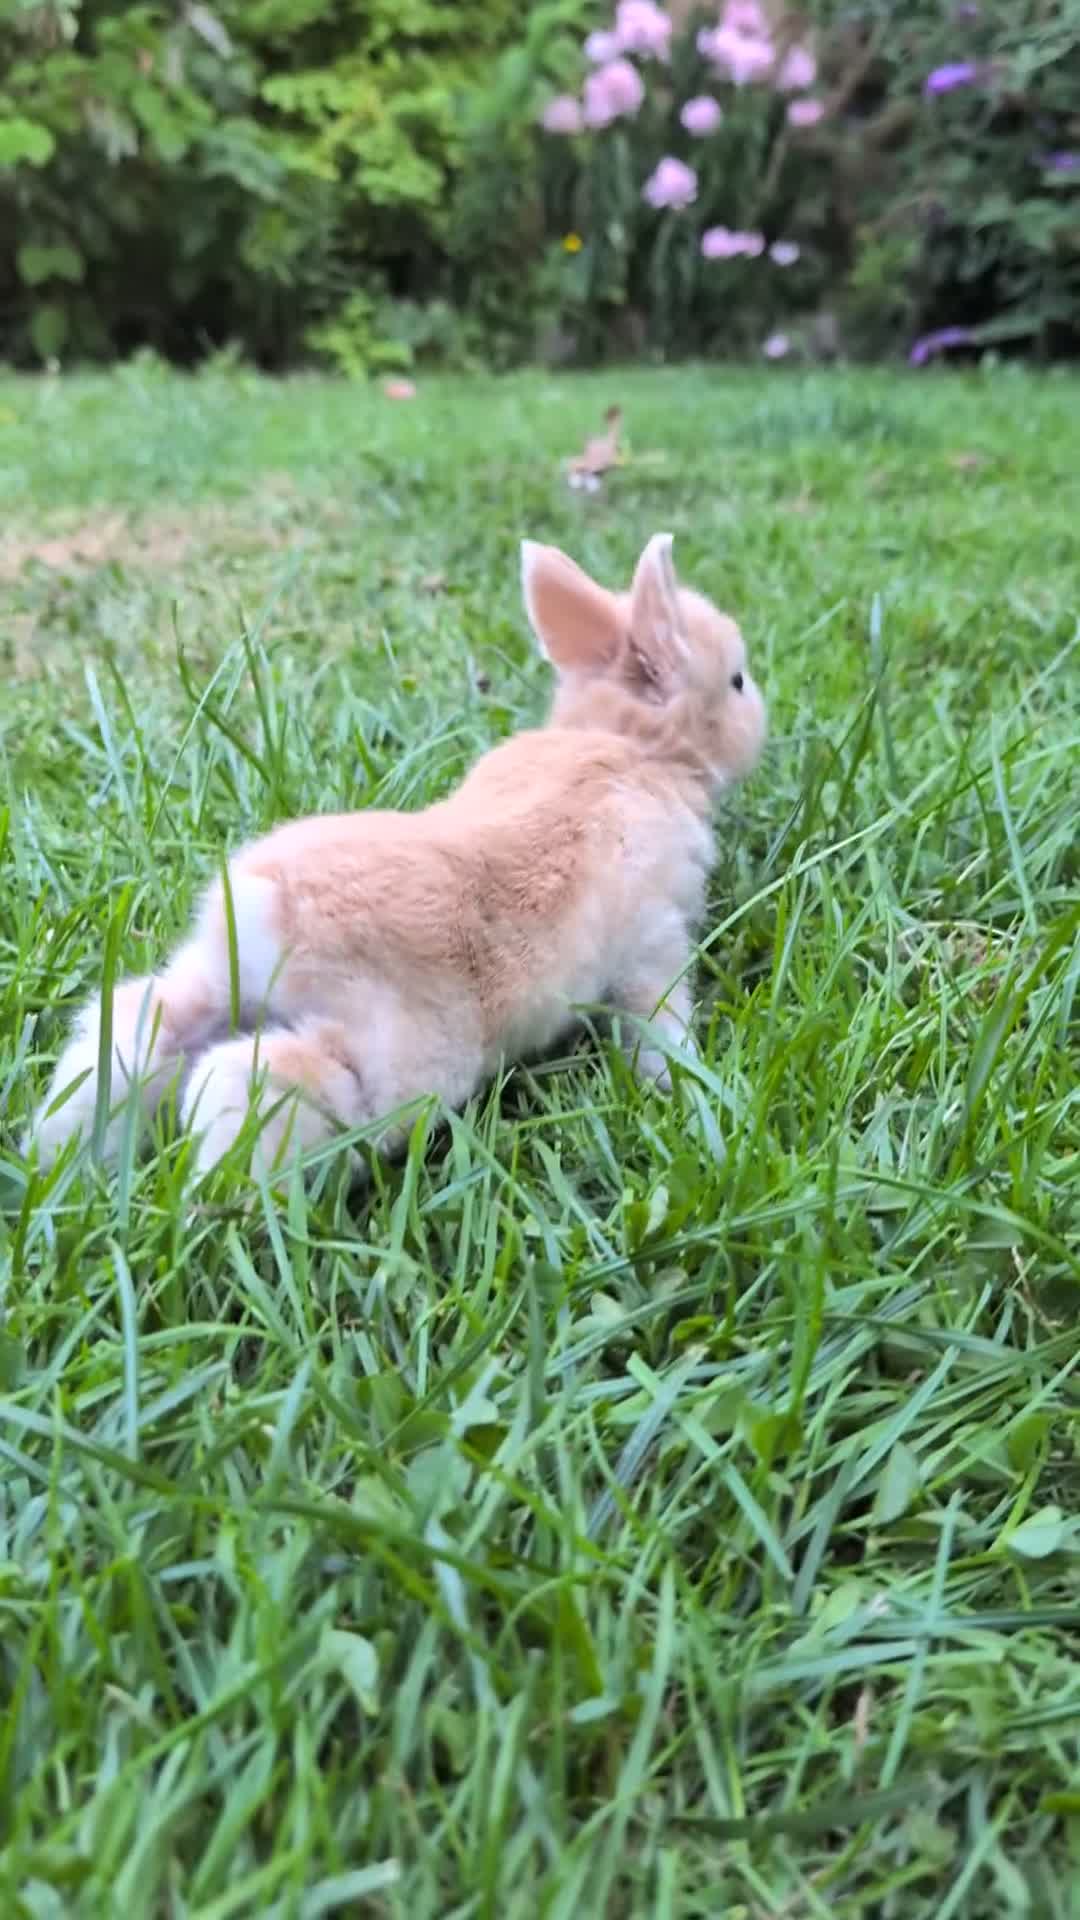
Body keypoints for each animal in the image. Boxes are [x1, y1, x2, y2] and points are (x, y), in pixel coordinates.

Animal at [27, 532, 766, 1180]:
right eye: (736, 681)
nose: (762, 716)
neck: (634, 746)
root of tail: (264, 906)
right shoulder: (654, 942)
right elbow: (658, 1018)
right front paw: (678, 1080)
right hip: (396, 1066)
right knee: (261, 1079)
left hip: (203, 991)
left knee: (138, 1028)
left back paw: (62, 1159)